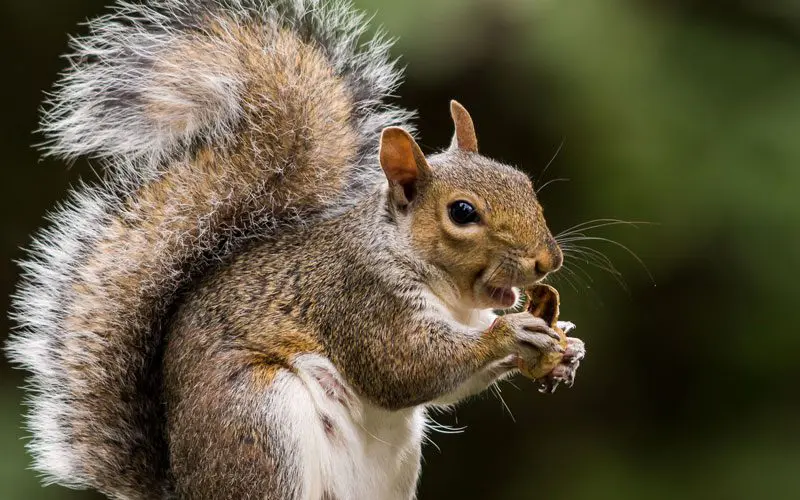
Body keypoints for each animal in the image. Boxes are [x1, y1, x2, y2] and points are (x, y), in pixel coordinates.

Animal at [6, 0, 586, 499]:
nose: (548, 261)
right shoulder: (358, 299)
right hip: (260, 420)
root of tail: (188, 487)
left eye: (522, 180)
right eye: (462, 213)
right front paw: (511, 333)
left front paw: (565, 346)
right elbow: (405, 369)